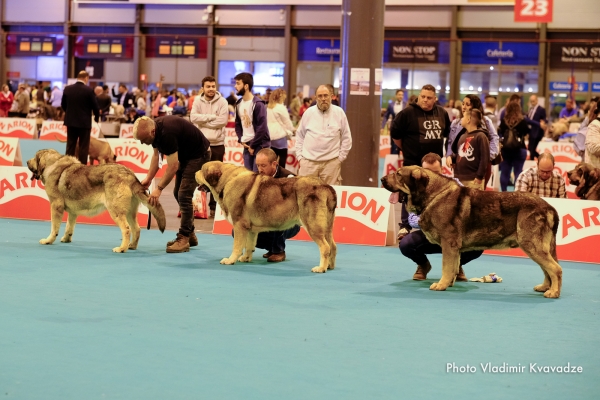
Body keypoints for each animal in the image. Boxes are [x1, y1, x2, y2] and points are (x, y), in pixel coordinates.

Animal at [27, 148, 165, 252]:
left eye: (34, 158)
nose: (27, 161)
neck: (52, 165)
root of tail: (129, 174)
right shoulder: (73, 212)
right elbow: (69, 227)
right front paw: (66, 239)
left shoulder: (56, 206)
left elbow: (54, 228)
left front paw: (48, 240)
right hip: (130, 212)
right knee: (136, 228)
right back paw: (131, 246)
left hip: (116, 211)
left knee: (126, 229)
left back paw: (121, 249)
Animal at [197, 161, 338, 274]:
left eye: (202, 170)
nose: (195, 172)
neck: (227, 180)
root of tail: (326, 186)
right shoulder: (250, 229)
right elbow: (249, 245)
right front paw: (246, 258)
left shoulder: (239, 225)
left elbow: (237, 246)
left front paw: (230, 260)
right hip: (327, 227)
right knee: (333, 246)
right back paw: (330, 266)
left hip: (312, 225)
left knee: (325, 247)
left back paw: (321, 268)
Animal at [384, 164, 564, 298]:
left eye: (398, 174)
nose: (382, 179)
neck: (434, 194)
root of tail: (550, 207)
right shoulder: (454, 248)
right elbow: (453, 266)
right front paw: (449, 283)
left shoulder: (448, 244)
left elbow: (446, 267)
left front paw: (441, 285)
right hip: (537, 247)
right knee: (547, 269)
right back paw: (545, 287)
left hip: (532, 244)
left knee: (555, 269)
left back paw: (553, 292)